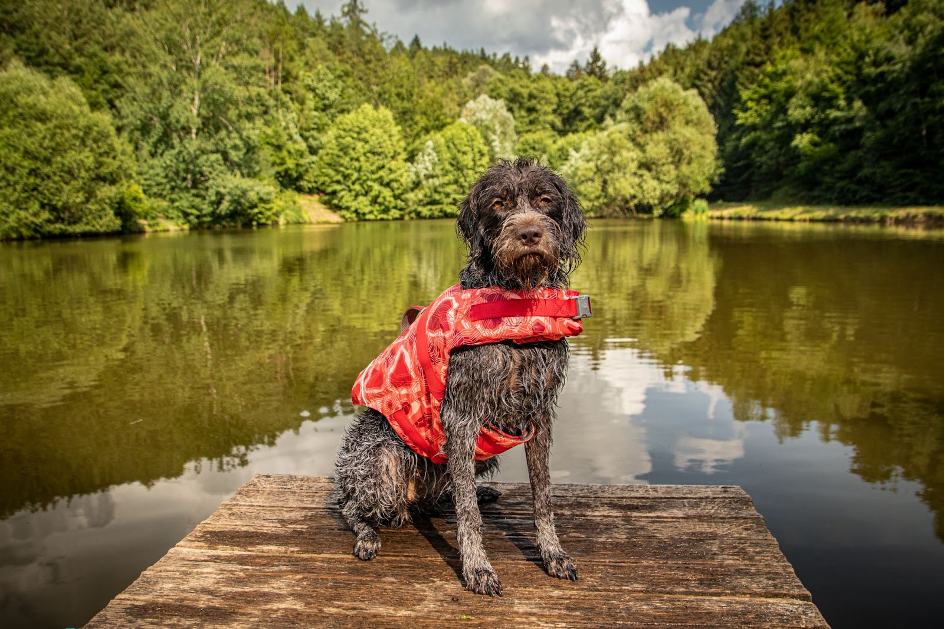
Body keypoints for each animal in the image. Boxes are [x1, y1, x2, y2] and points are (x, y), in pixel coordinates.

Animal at [332, 157, 584, 592]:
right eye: (499, 203)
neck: (516, 306)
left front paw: (552, 553)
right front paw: (477, 567)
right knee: (350, 504)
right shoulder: (462, 414)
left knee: (444, 492)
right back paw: (366, 535)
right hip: (381, 458)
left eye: (544, 200)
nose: (529, 233)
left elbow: (543, 496)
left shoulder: (538, 413)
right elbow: (468, 514)